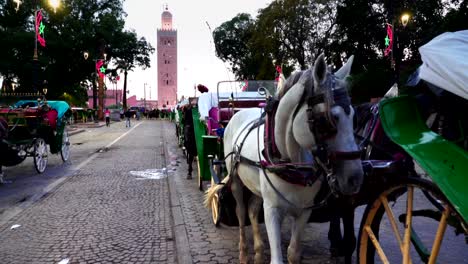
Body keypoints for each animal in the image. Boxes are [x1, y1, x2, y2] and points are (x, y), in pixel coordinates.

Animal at [207, 53, 364, 262]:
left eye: (354, 117)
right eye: (325, 120)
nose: (355, 179)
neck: (291, 162)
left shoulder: (304, 211)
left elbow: (293, 252)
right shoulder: (272, 210)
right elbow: (277, 258)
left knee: (253, 210)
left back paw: (258, 251)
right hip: (236, 182)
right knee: (241, 213)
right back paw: (244, 253)